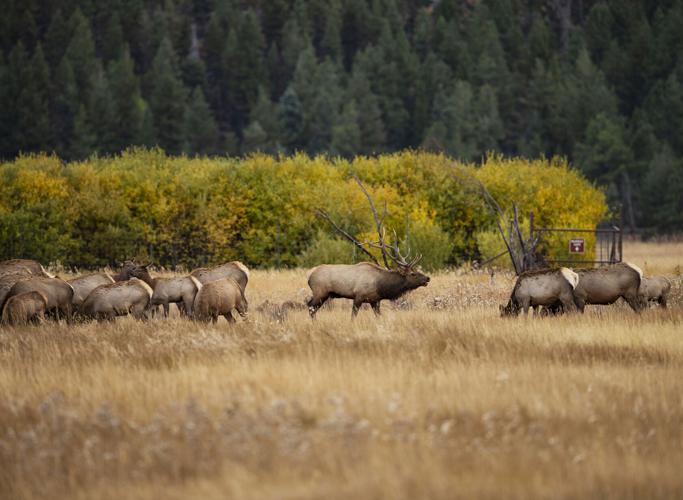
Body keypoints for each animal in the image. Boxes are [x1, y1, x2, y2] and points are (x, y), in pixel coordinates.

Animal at [307, 175, 430, 318]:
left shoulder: (374, 300)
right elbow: (353, 316)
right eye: (413, 273)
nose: (427, 278)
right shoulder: (359, 296)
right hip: (320, 292)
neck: (381, 286)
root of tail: (309, 276)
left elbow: (378, 316)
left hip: (323, 295)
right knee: (310, 307)